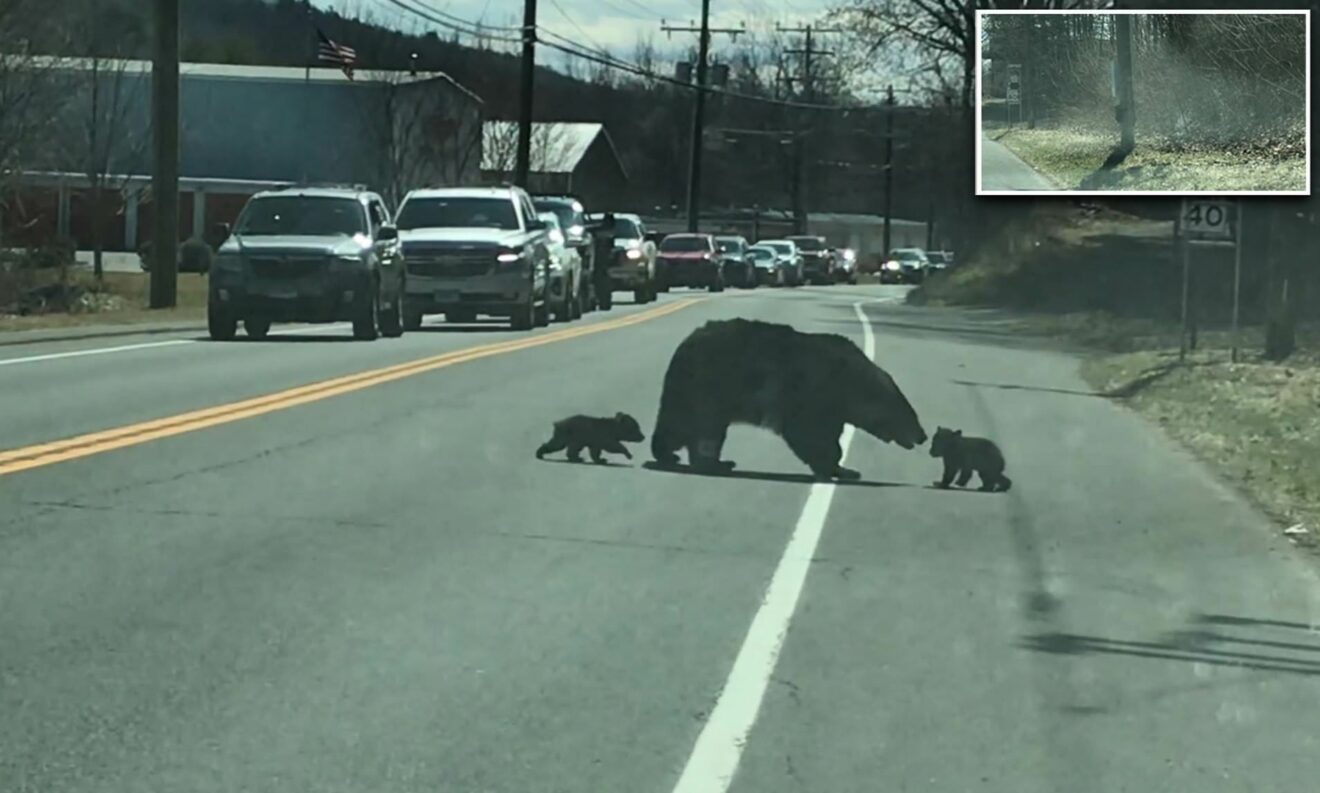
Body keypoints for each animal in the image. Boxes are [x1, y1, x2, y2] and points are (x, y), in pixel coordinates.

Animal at [649, 317, 929, 480]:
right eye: (909, 413)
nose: (923, 436)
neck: (850, 384)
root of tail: (685, 344)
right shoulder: (813, 391)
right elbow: (808, 432)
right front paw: (831, 466)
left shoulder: (834, 407)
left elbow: (828, 433)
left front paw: (844, 469)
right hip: (709, 385)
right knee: (699, 426)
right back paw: (698, 460)